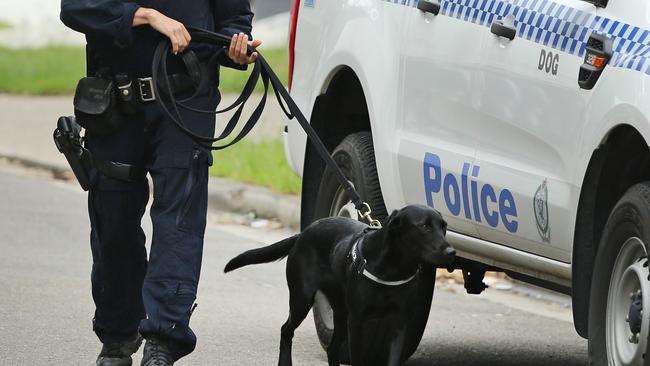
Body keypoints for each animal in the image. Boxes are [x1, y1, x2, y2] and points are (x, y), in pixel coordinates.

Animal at [225, 204, 454, 364]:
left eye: (444, 227)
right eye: (424, 226)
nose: (451, 252)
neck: (394, 269)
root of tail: (303, 233)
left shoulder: (400, 325)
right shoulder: (358, 322)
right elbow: (358, 361)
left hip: (341, 313)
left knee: (332, 350)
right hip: (302, 299)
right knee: (286, 330)